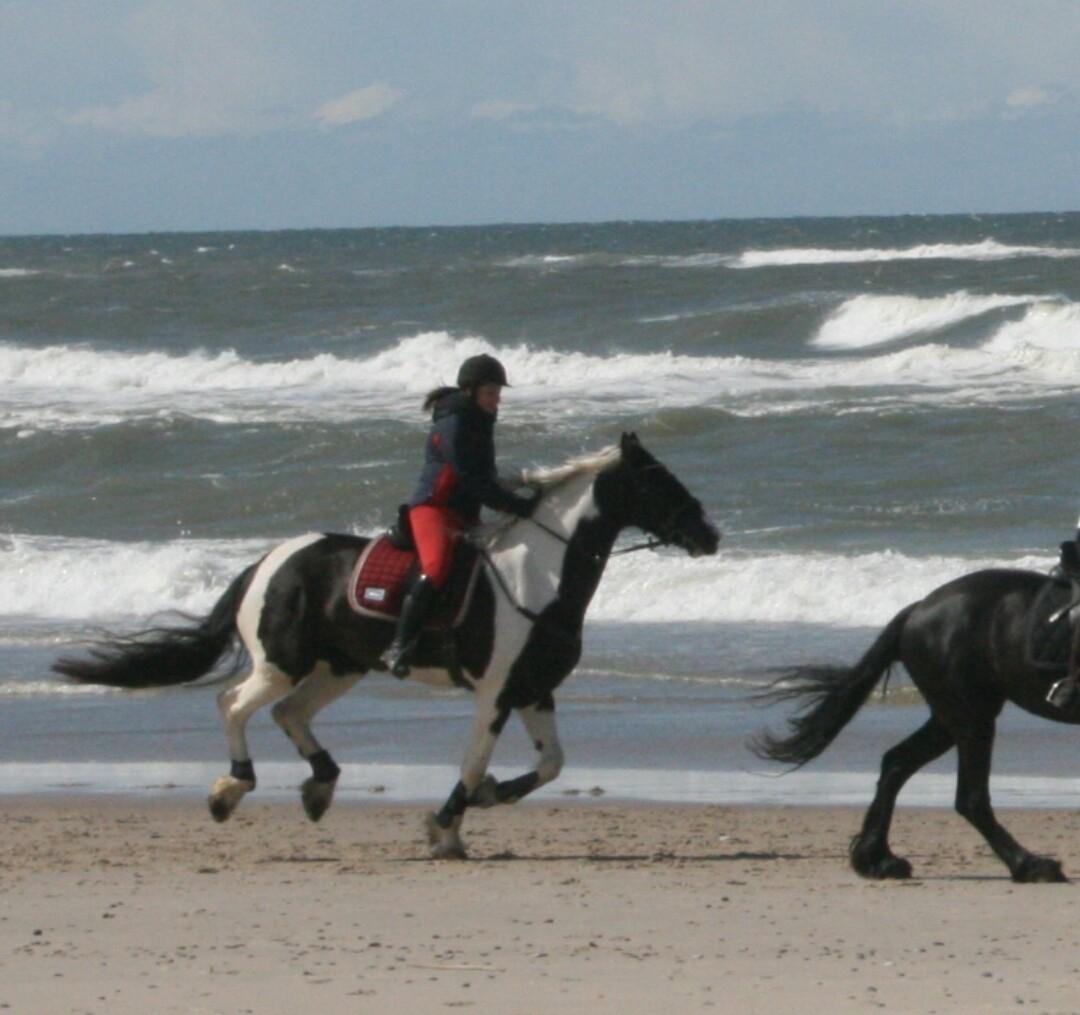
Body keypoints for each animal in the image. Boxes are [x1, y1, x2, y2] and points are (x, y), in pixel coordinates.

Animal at [54, 431, 721, 859]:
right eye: (658, 481)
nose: (710, 535)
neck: (540, 574)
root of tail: (267, 562)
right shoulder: (496, 693)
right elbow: (473, 761)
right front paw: (445, 828)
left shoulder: (533, 689)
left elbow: (551, 763)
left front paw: (487, 797)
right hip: (284, 662)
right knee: (235, 704)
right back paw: (230, 791)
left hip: (340, 667)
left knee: (287, 712)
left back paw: (320, 786)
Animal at [751, 565, 1080, 885]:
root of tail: (918, 609)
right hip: (971, 717)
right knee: (970, 798)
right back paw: (1031, 865)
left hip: (952, 719)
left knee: (896, 763)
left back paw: (878, 859)